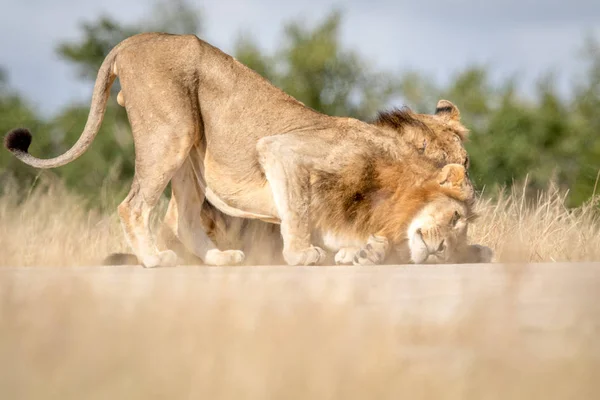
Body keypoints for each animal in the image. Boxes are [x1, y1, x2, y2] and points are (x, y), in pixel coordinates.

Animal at [2, 32, 482, 268]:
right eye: (456, 220)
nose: (446, 250)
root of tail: (133, 40)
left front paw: (360, 253)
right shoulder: (284, 149)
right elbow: (297, 211)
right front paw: (300, 256)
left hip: (191, 153)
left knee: (187, 219)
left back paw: (217, 259)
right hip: (172, 133)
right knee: (132, 205)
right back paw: (155, 260)